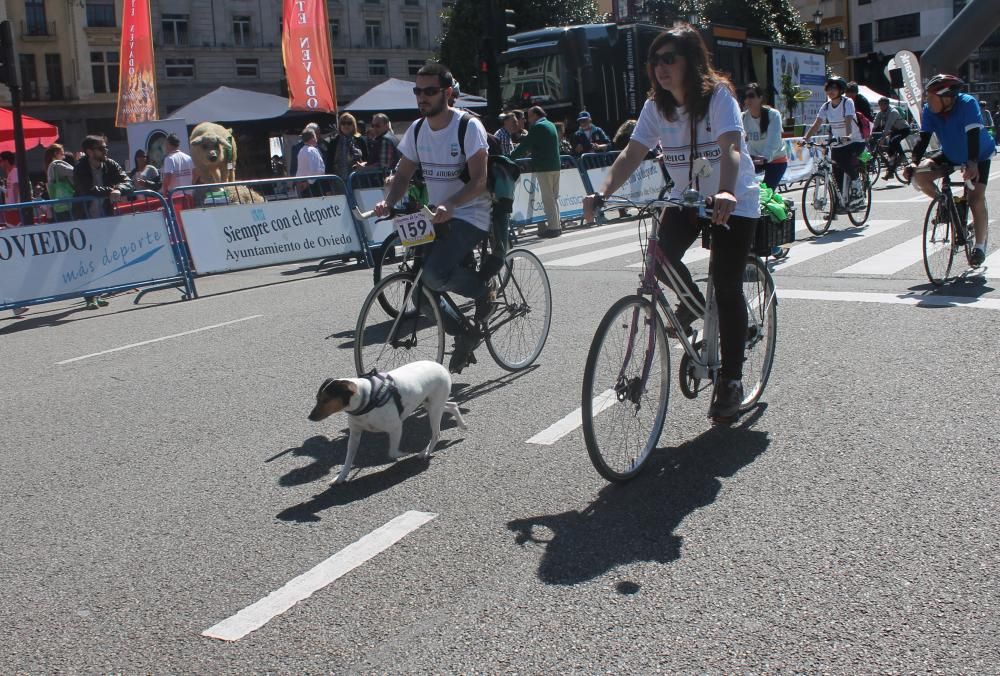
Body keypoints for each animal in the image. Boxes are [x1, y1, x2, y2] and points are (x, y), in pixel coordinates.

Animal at [306, 362, 466, 484]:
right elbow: (348, 459)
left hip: (434, 409)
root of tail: (439, 365)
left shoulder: (396, 427)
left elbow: (392, 452)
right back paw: (462, 424)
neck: (367, 398)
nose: (310, 417)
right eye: (317, 398)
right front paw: (340, 477)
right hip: (430, 404)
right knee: (453, 405)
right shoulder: (355, 435)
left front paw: (404, 453)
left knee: (436, 433)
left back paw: (425, 452)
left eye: (326, 399)